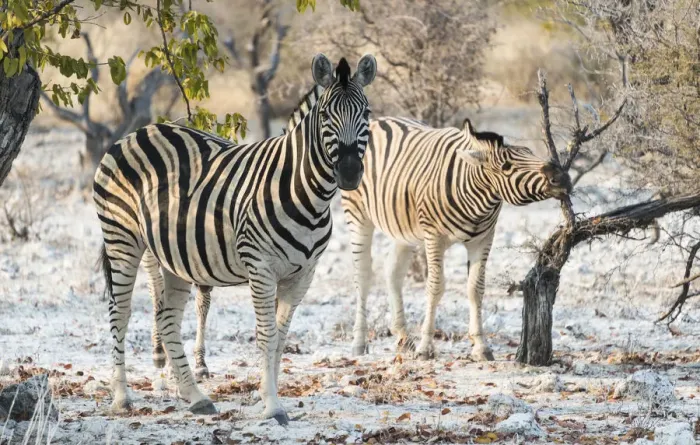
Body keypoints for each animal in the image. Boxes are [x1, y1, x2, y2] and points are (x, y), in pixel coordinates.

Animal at [93, 53, 377, 424]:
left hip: (172, 255)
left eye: (366, 113)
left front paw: (267, 396)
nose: (349, 173)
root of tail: (137, 131)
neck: (303, 192)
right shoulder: (260, 268)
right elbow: (266, 335)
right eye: (327, 116)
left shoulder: (303, 275)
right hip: (121, 238)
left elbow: (281, 338)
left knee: (167, 319)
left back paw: (195, 397)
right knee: (120, 312)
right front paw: (272, 406)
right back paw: (122, 397)